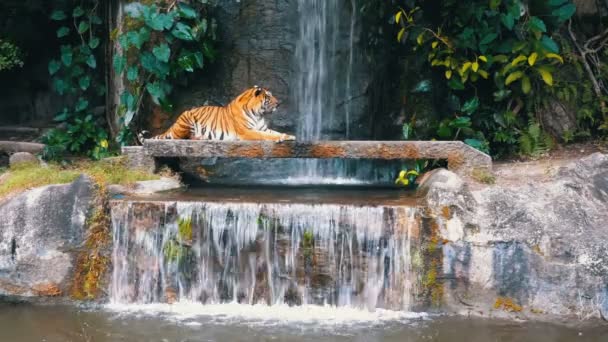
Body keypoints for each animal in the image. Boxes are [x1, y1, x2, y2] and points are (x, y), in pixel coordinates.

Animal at [141, 86, 296, 144]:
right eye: (268, 97)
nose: (279, 103)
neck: (259, 114)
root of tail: (174, 125)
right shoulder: (247, 131)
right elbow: (266, 136)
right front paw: (280, 138)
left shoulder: (263, 128)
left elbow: (274, 132)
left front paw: (289, 136)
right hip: (187, 118)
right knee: (181, 138)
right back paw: (199, 137)